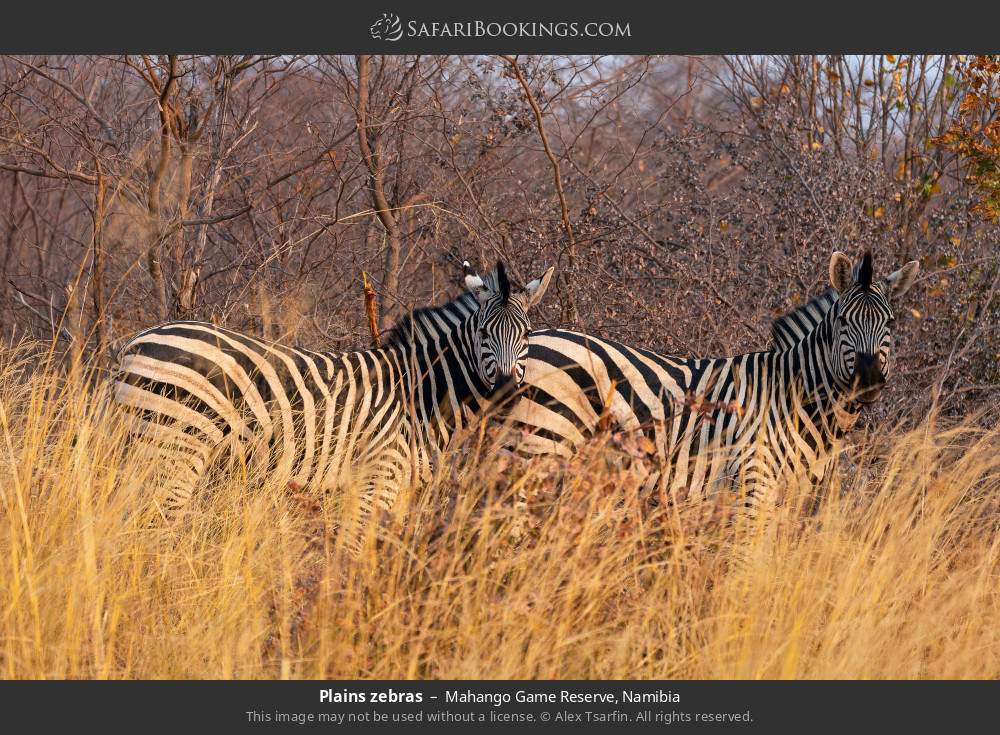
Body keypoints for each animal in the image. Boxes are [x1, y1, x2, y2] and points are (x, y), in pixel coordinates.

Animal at [113, 262, 560, 536]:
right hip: (173, 449)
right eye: (483, 334)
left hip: (145, 444)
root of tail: (136, 341)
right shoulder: (377, 477)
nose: (506, 393)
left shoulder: (397, 491)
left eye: (526, 335)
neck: (420, 392)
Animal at [504, 250, 916, 508]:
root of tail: (533, 339)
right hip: (539, 446)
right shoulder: (753, 481)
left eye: (891, 323)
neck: (794, 398)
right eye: (844, 321)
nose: (868, 380)